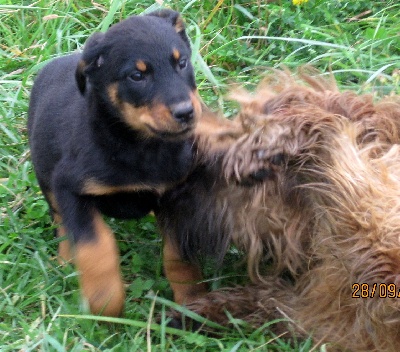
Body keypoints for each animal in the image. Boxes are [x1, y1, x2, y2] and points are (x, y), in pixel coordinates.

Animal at [28, 9, 241, 316]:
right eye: (136, 75)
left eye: (182, 63)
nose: (186, 113)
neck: (141, 147)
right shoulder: (69, 186)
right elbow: (95, 245)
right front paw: (105, 300)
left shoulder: (175, 196)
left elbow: (178, 256)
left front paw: (191, 301)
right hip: (46, 177)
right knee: (61, 221)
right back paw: (66, 260)